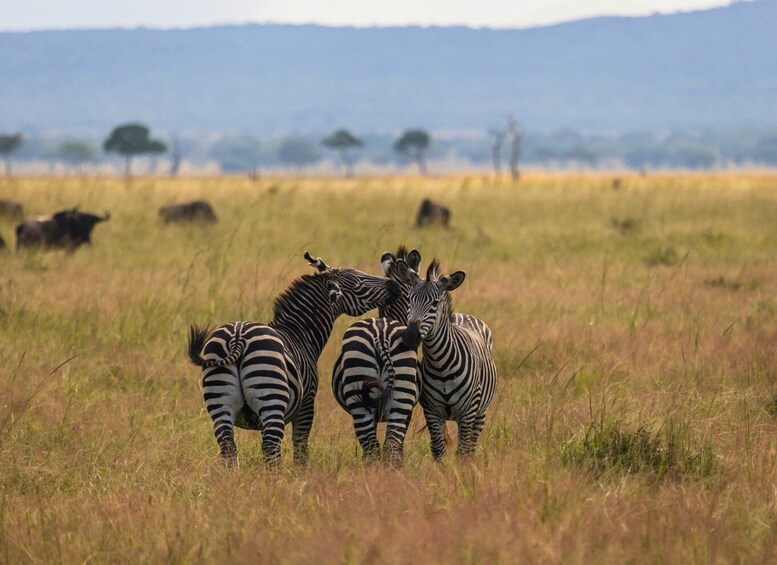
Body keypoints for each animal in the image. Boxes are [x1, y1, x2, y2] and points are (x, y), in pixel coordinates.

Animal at [188, 252, 401, 466]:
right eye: (358, 282)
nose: (395, 286)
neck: (299, 334)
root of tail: (238, 337)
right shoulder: (307, 403)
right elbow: (301, 447)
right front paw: (300, 471)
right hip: (271, 397)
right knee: (270, 446)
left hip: (220, 402)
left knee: (228, 447)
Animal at [331, 246, 422, 465]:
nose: (414, 339)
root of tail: (380, 336)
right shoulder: (408, 411)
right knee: (386, 447)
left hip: (363, 398)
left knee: (377, 447)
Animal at [399, 259, 497, 459]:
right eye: (410, 299)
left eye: (435, 303)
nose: (410, 337)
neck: (441, 365)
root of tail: (461, 315)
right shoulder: (432, 411)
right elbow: (438, 448)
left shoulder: (468, 412)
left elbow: (463, 452)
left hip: (480, 412)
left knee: (471, 446)